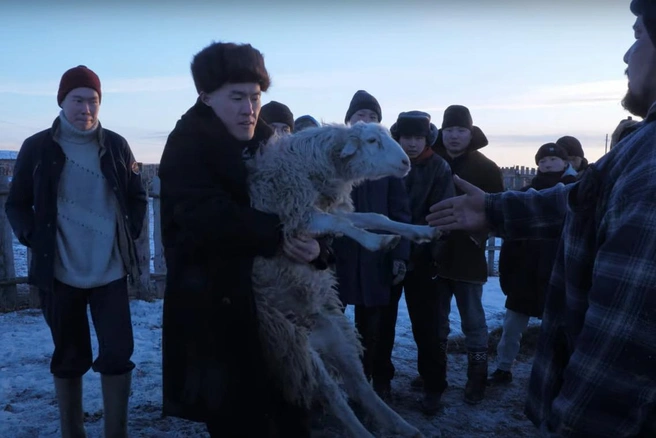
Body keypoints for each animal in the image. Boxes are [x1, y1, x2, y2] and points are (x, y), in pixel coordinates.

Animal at [243, 121, 438, 438]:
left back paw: (402, 426)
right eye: (371, 141)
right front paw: (376, 243)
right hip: (296, 346)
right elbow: (343, 223)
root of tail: (312, 330)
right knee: (333, 396)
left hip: (339, 334)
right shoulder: (297, 217)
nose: (406, 163)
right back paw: (366, 432)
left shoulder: (320, 212)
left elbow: (374, 216)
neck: (308, 166)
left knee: (359, 385)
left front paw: (421, 232)